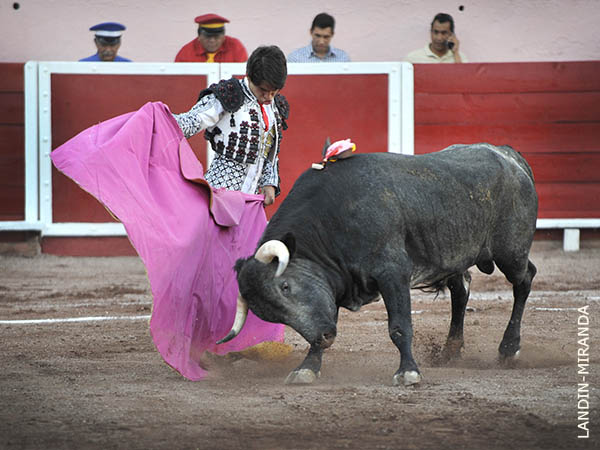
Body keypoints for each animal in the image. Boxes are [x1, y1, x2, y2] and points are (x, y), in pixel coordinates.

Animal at [218, 142, 536, 384]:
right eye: (272, 315)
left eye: (285, 286)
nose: (325, 337)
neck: (334, 217)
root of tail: (509, 155)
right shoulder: (332, 281)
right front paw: (307, 368)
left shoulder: (392, 273)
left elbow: (399, 326)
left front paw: (408, 373)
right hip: (456, 256)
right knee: (462, 289)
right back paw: (451, 351)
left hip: (511, 253)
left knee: (524, 279)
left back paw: (509, 348)